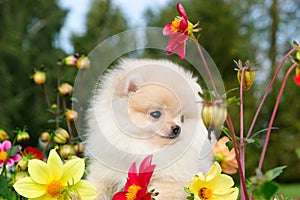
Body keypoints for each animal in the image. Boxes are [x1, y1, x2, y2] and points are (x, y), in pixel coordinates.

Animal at [85, 58, 214, 199]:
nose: (177, 128)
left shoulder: (172, 181)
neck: (144, 146)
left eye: (182, 118)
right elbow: (97, 188)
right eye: (156, 114)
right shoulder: (105, 171)